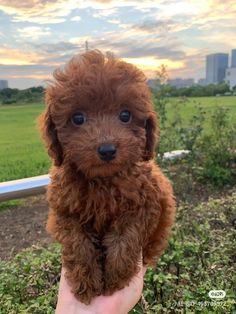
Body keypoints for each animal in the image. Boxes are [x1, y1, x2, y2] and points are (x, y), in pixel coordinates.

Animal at [39, 49, 175, 304]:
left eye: (125, 115)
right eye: (78, 118)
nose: (107, 150)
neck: (103, 180)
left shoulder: (144, 205)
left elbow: (125, 240)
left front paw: (115, 280)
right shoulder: (64, 210)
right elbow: (77, 244)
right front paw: (85, 284)